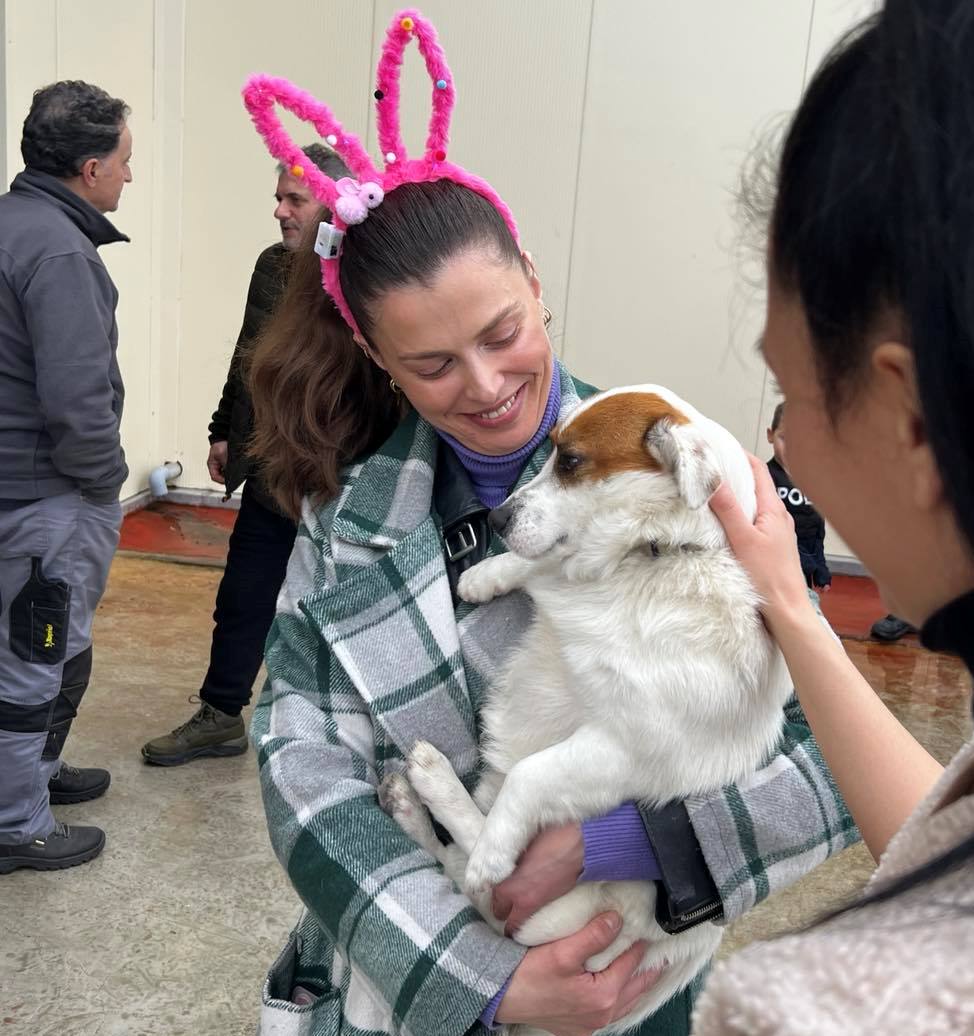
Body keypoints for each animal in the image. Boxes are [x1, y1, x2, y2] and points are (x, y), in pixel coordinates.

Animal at [379, 384, 792, 1034]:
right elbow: (541, 563)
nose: (496, 519)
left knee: (470, 877)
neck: (654, 557)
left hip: (553, 912)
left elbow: (529, 777)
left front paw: (494, 849)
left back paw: (437, 792)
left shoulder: (620, 748)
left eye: (571, 461)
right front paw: (486, 574)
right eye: (548, 451)